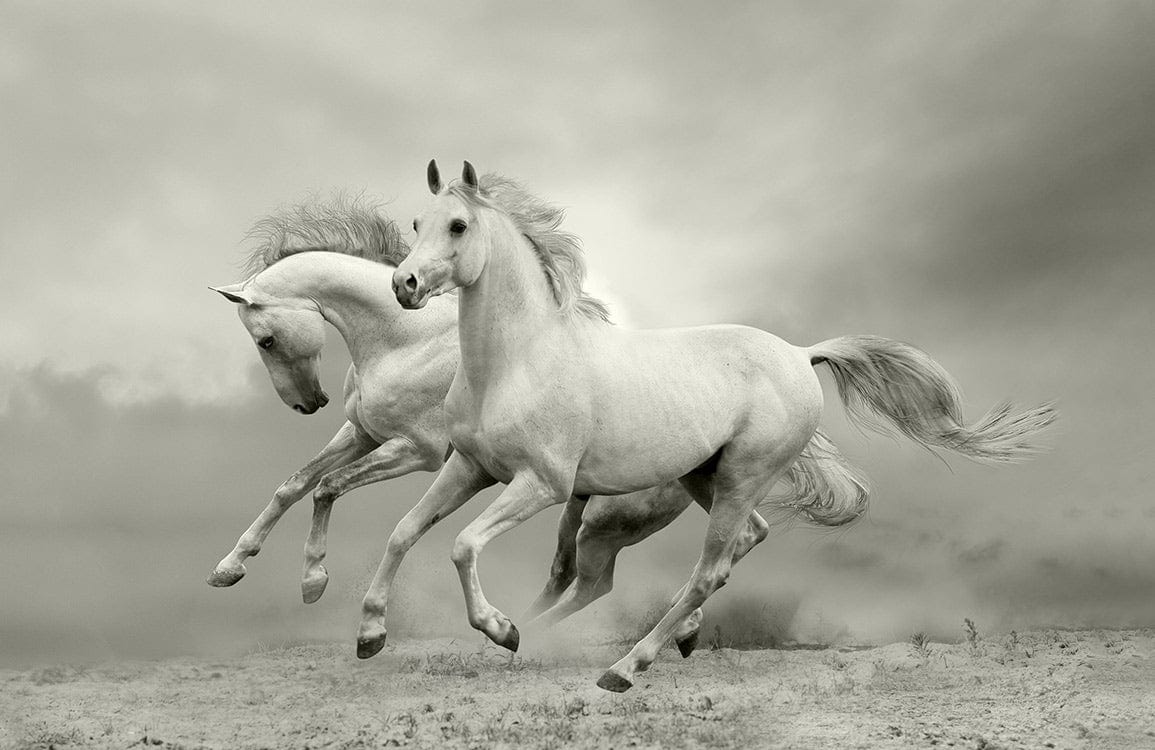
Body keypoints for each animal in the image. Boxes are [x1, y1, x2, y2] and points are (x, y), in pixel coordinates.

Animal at [204, 197, 862, 651]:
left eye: (265, 340)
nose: (308, 404)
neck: (405, 337)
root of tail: (793, 359)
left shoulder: (416, 451)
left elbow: (327, 487)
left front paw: (314, 581)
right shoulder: (365, 434)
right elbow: (295, 485)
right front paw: (232, 568)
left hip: (607, 519)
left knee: (615, 576)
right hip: (667, 494)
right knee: (718, 546)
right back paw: (671, 632)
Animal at [374, 160, 1055, 691]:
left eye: (458, 225)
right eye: (417, 224)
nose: (404, 284)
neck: (517, 360)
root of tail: (801, 354)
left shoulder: (542, 484)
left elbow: (463, 544)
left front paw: (501, 629)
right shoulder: (471, 468)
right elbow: (405, 532)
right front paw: (370, 632)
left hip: (737, 480)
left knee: (707, 571)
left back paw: (625, 667)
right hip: (707, 478)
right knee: (739, 544)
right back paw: (654, 640)